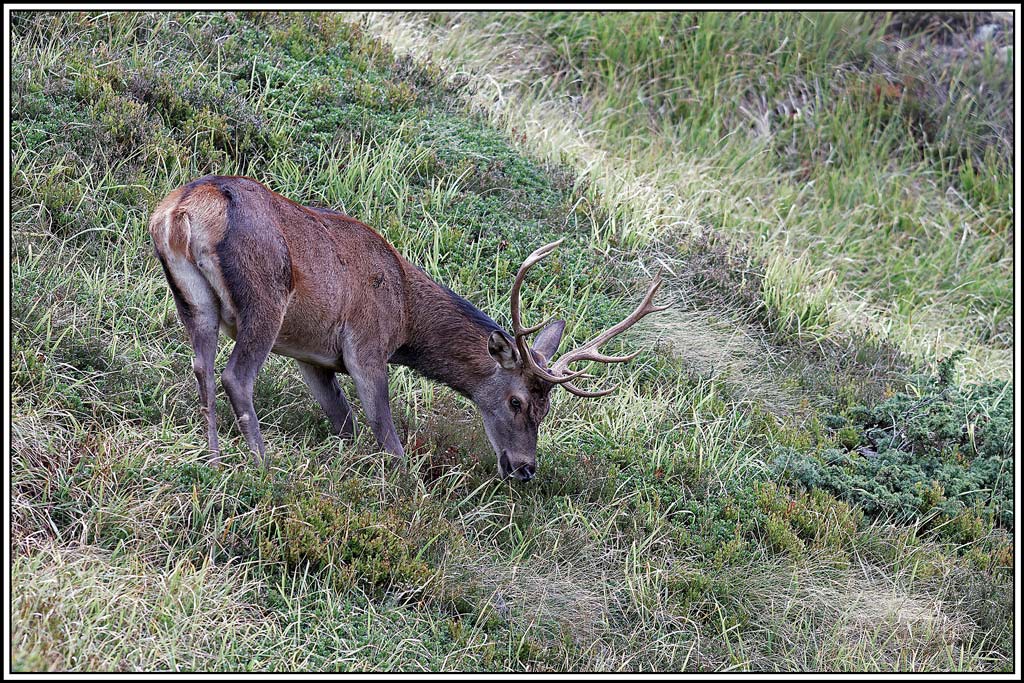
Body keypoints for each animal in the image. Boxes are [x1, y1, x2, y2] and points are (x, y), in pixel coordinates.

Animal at [149, 175, 666, 481]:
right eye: (516, 401)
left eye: (548, 408)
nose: (525, 468)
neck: (406, 316)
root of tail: (180, 211)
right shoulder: (365, 346)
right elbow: (387, 436)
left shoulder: (311, 355)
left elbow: (344, 424)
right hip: (264, 300)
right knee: (236, 376)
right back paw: (262, 466)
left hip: (194, 302)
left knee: (203, 369)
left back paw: (214, 460)